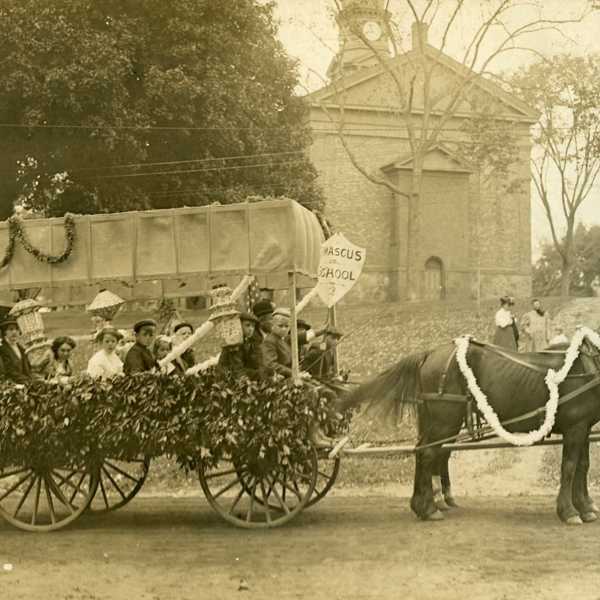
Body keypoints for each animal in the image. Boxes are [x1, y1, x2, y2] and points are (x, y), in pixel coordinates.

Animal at [340, 338, 600, 524]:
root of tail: (429, 354)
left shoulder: (583, 428)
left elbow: (582, 467)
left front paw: (586, 507)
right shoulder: (575, 428)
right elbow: (569, 468)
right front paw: (569, 511)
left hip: (435, 422)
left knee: (422, 453)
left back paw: (421, 505)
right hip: (444, 421)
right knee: (428, 454)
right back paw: (429, 508)